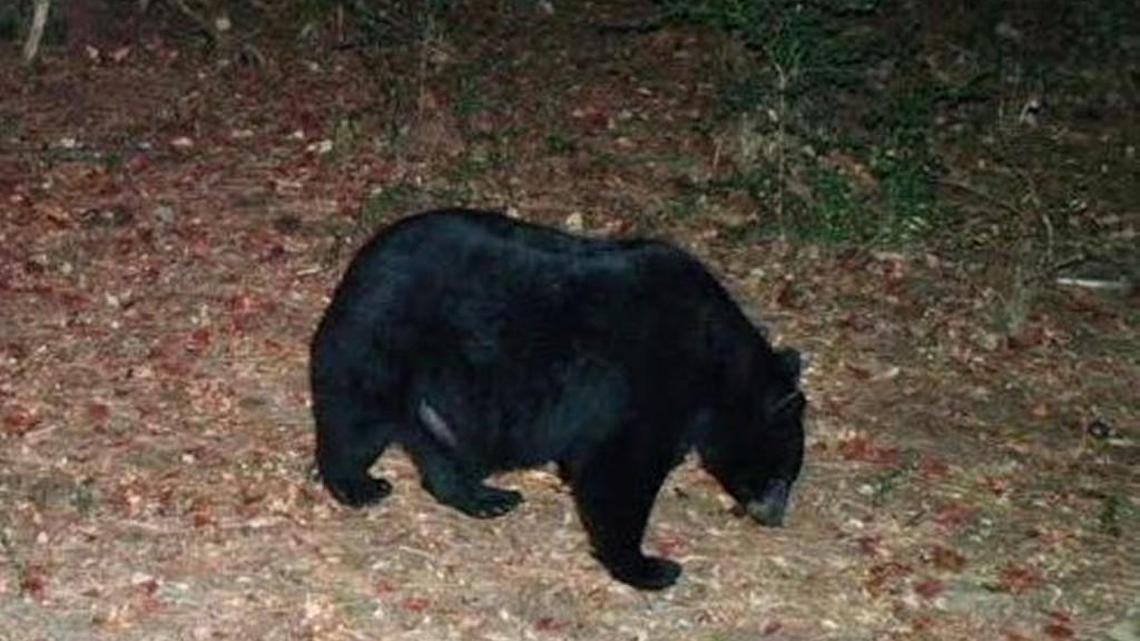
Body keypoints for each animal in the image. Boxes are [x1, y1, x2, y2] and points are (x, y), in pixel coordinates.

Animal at [310, 209, 806, 590]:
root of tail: (358, 266)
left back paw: (486, 497)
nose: (774, 517)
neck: (717, 368)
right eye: (782, 476)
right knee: (355, 421)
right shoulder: (642, 385)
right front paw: (649, 566)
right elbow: (620, 468)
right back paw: (359, 485)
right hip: (383, 345)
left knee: (438, 449)